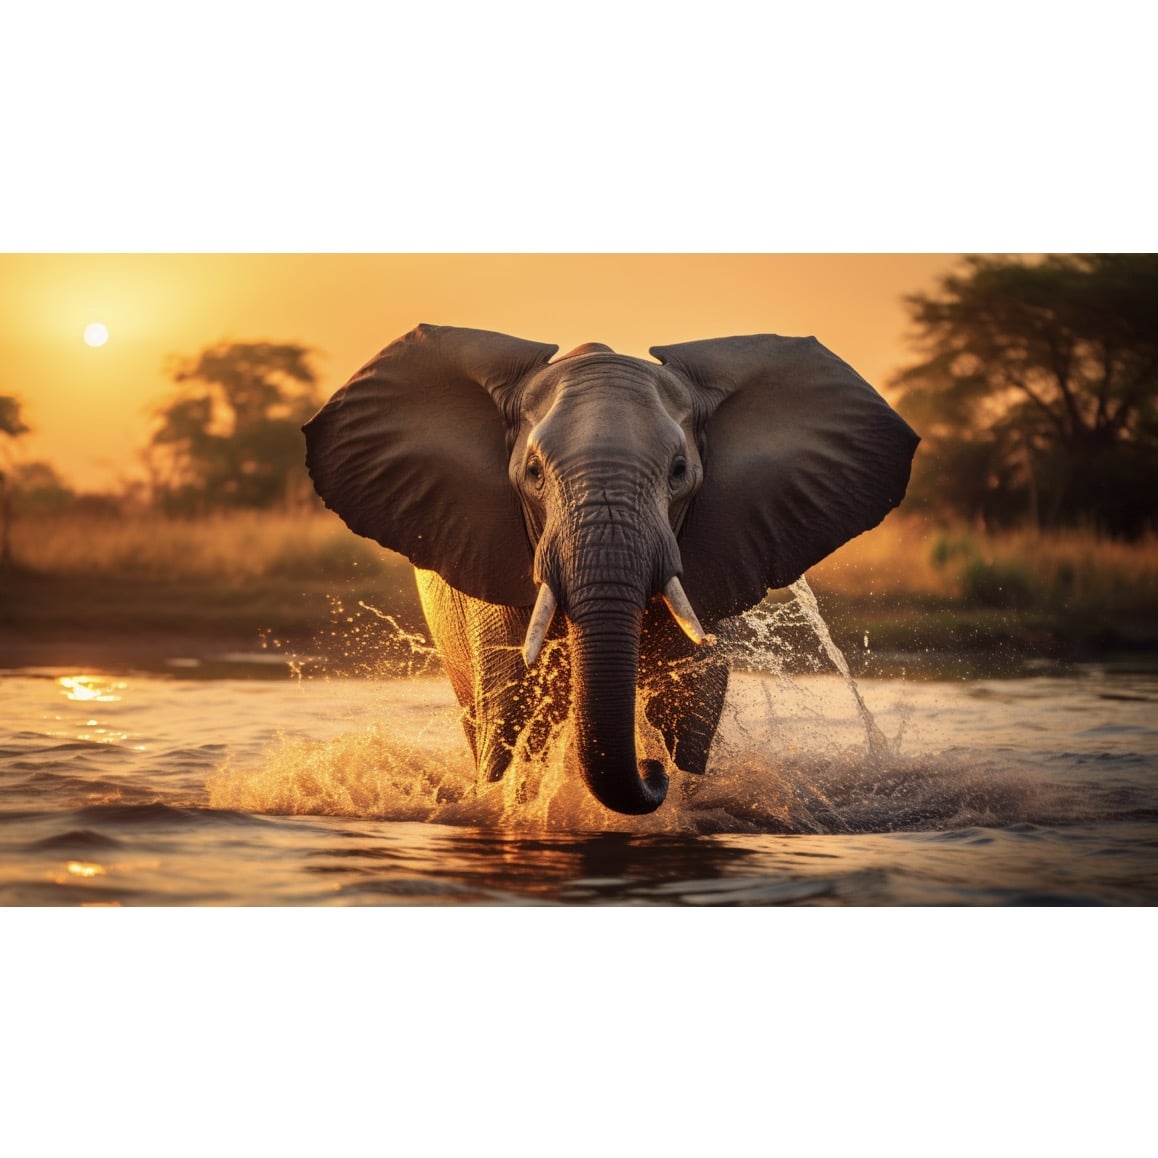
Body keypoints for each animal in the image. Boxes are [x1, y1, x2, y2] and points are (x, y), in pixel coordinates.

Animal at [303, 324, 918, 816]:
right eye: (532, 473)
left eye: (678, 471)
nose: (652, 772)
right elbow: (514, 708)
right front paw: (517, 808)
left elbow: (691, 705)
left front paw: (678, 786)